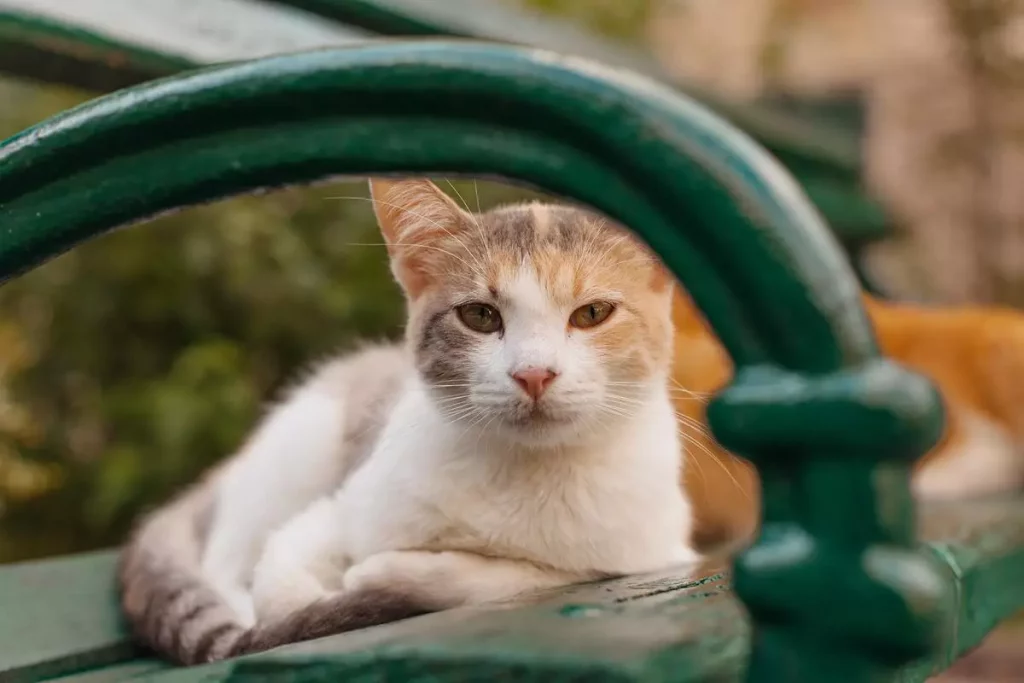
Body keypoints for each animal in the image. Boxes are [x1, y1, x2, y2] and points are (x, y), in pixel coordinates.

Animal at [117, 179, 696, 663]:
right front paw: (326, 598)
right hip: (302, 443)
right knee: (224, 562)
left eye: (593, 313)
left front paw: (382, 575)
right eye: (480, 316)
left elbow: (527, 577)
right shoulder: (342, 505)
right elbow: (281, 586)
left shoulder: (653, 552)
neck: (528, 474)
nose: (534, 374)